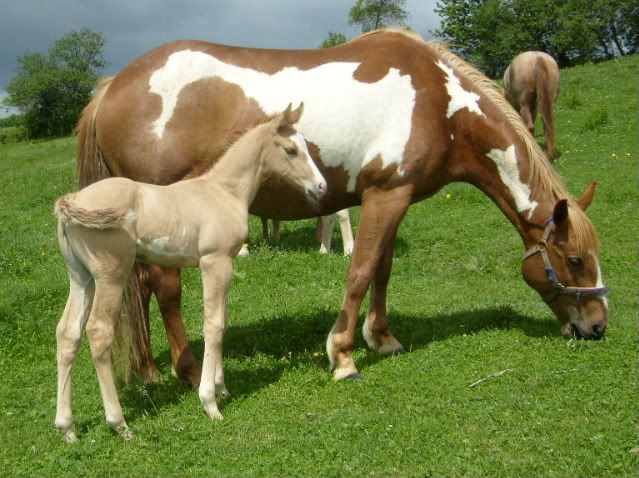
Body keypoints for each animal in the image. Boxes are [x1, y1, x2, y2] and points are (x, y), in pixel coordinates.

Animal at [53, 103, 328, 440]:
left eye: (305, 146)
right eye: (291, 150)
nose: (321, 187)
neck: (223, 191)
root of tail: (71, 201)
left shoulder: (224, 265)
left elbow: (221, 320)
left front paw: (222, 388)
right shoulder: (215, 262)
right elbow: (213, 325)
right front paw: (210, 402)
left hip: (81, 277)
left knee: (68, 333)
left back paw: (67, 428)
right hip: (111, 275)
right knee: (98, 331)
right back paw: (119, 423)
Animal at [77, 29, 608, 386]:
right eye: (575, 260)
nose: (598, 326)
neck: (440, 103)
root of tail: (113, 86)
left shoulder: (394, 197)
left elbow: (383, 271)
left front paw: (384, 338)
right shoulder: (385, 196)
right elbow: (360, 271)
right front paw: (344, 356)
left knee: (141, 289)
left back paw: (149, 370)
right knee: (165, 289)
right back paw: (188, 371)